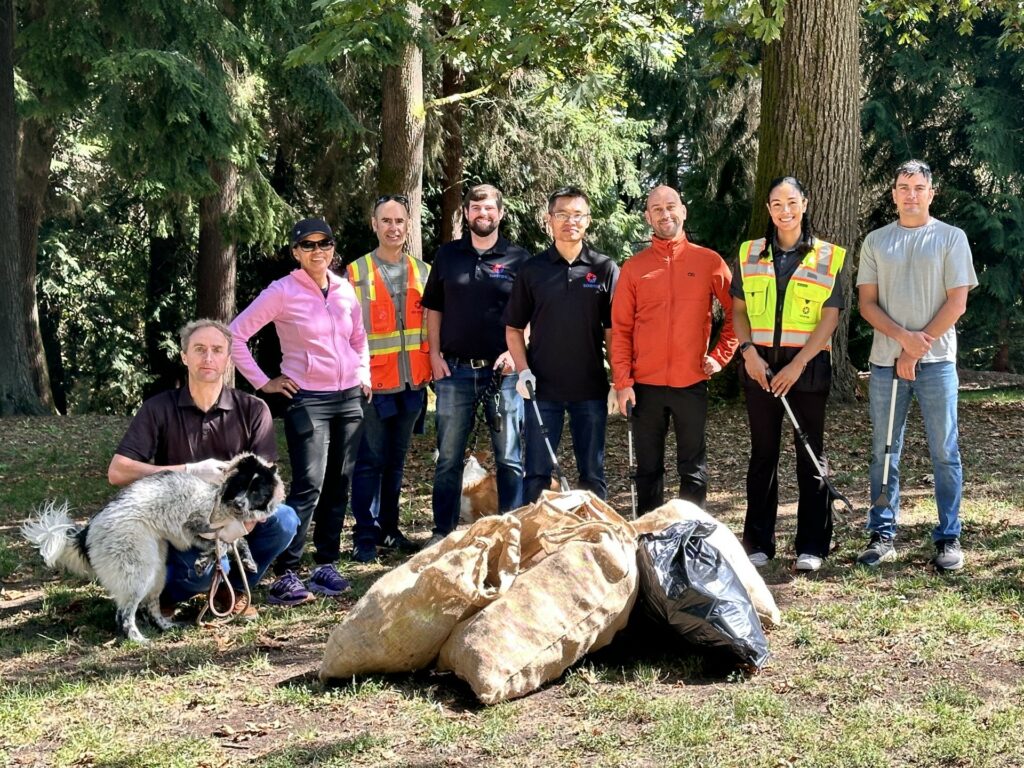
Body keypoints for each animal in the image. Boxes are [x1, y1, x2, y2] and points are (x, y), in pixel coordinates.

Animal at [23, 454, 284, 647]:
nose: (239, 503)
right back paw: (138, 640)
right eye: (240, 486)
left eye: (255, 490)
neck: (221, 498)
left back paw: (168, 627)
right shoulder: (193, 525)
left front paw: (246, 560)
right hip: (139, 572)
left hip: (157, 570)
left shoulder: (224, 531)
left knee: (150, 607)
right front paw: (205, 561)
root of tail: (87, 530)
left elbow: (236, 542)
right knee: (124, 614)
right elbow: (219, 543)